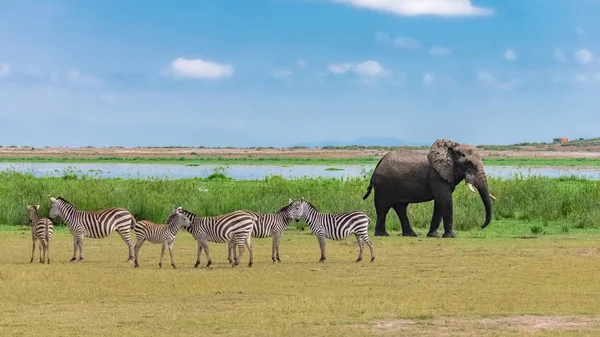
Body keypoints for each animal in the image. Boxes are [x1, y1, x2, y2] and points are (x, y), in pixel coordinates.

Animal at [360, 138, 496, 238]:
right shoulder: (436, 175)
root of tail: (378, 164)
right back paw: (383, 235)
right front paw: (451, 236)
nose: (480, 226)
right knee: (383, 208)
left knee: (401, 208)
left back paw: (411, 235)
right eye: (468, 163)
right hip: (383, 184)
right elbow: (446, 201)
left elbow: (440, 203)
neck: (451, 147)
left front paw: (433, 236)